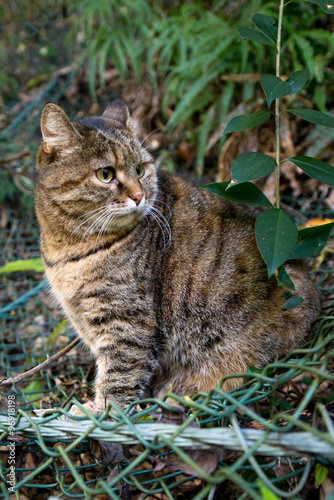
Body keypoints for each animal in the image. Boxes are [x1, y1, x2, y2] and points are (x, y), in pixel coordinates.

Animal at [34, 98, 320, 414]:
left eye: (140, 169)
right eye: (105, 174)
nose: (139, 196)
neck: (67, 248)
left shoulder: (127, 322)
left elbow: (119, 377)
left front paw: (100, 413)